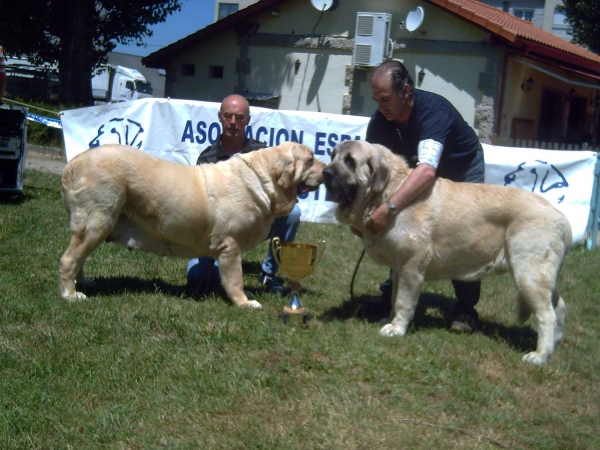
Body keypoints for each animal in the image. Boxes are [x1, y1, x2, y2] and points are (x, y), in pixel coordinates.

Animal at [58, 142, 326, 308]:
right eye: (310, 159)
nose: (328, 171)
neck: (263, 178)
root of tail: (72, 165)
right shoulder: (231, 247)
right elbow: (235, 279)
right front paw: (244, 302)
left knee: (78, 257)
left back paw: (83, 283)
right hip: (97, 222)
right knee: (69, 259)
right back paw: (71, 294)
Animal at [324, 141, 572, 366]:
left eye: (350, 161)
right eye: (333, 156)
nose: (325, 172)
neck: (391, 193)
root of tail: (561, 217)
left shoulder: (411, 268)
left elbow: (403, 301)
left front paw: (397, 328)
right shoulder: (399, 268)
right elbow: (394, 297)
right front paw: (390, 319)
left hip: (528, 274)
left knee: (547, 315)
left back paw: (539, 356)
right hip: (540, 277)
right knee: (559, 305)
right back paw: (555, 344)